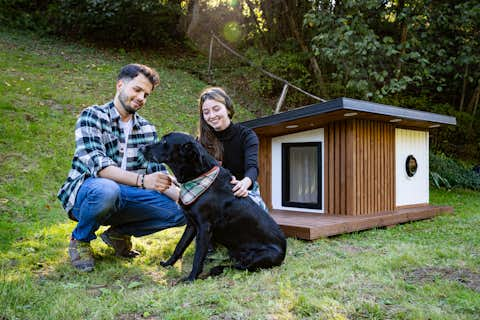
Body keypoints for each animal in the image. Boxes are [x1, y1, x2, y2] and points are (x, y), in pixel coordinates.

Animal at [141, 131, 286, 282]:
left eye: (164, 142)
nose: (142, 148)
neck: (198, 176)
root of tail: (284, 253)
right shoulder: (191, 224)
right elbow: (179, 246)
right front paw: (168, 264)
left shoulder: (204, 228)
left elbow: (198, 257)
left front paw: (191, 278)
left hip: (264, 255)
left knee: (240, 266)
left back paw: (216, 269)